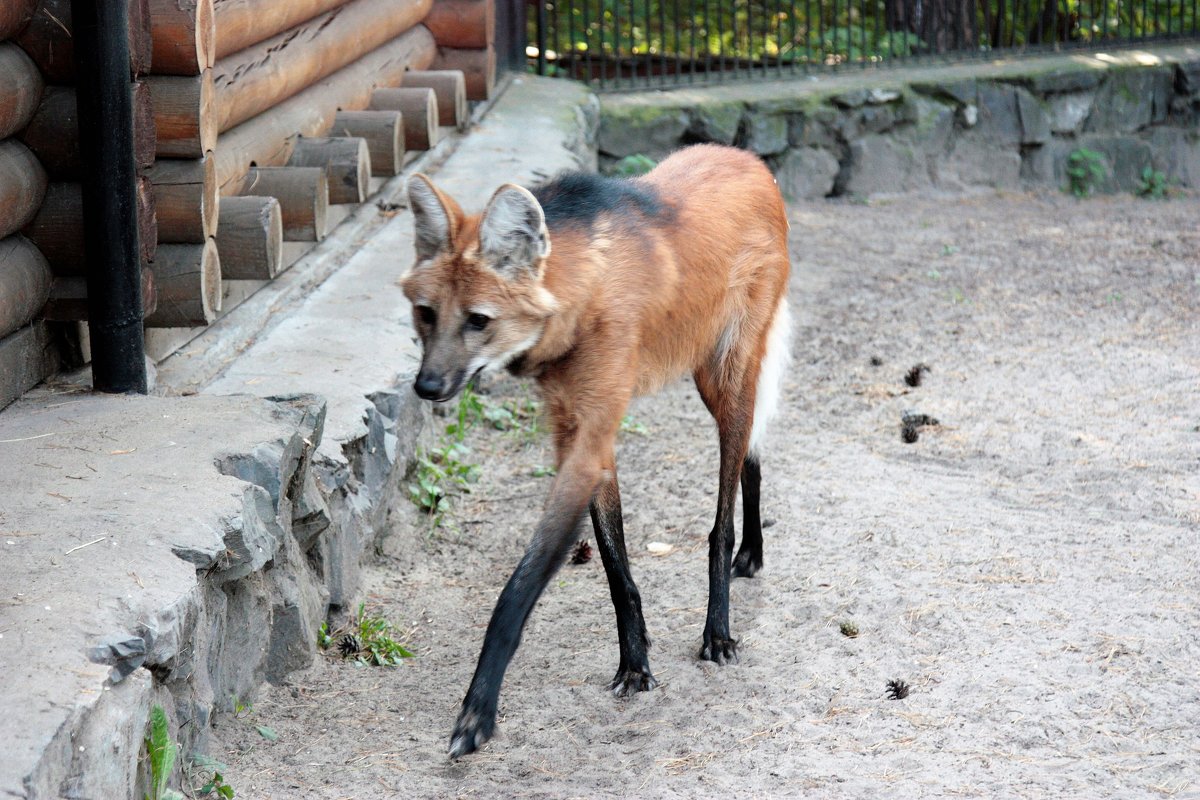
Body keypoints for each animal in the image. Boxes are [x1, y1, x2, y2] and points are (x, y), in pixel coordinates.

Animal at [403, 143, 792, 758]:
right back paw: (752, 553)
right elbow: (615, 568)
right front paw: (635, 664)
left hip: (723, 373)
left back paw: (720, 626)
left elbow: (517, 591)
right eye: (426, 313)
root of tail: (750, 159)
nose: (427, 387)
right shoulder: (579, 432)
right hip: (713, 379)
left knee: (723, 510)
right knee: (751, 451)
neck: (580, 297)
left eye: (478, 320)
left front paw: (476, 713)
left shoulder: (590, 435)